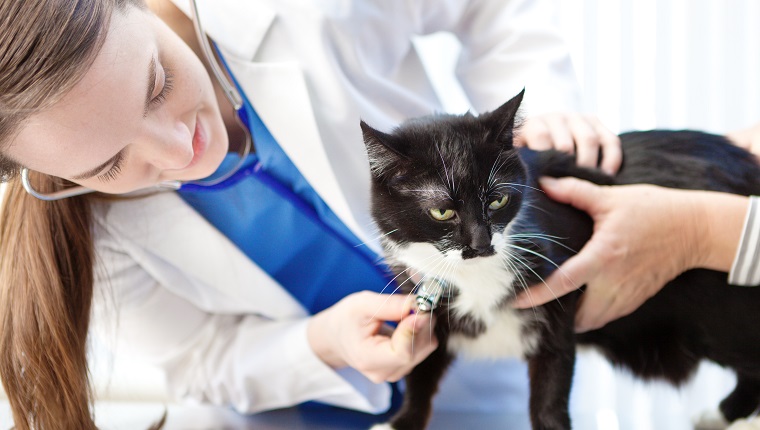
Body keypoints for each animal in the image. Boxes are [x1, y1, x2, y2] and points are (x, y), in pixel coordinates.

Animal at [360, 88, 760, 430]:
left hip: (719, 312)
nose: (482, 243)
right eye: (442, 211)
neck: (475, 277)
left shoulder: (557, 301)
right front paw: (401, 421)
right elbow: (420, 367)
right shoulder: (423, 296)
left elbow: (550, 388)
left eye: (498, 200)